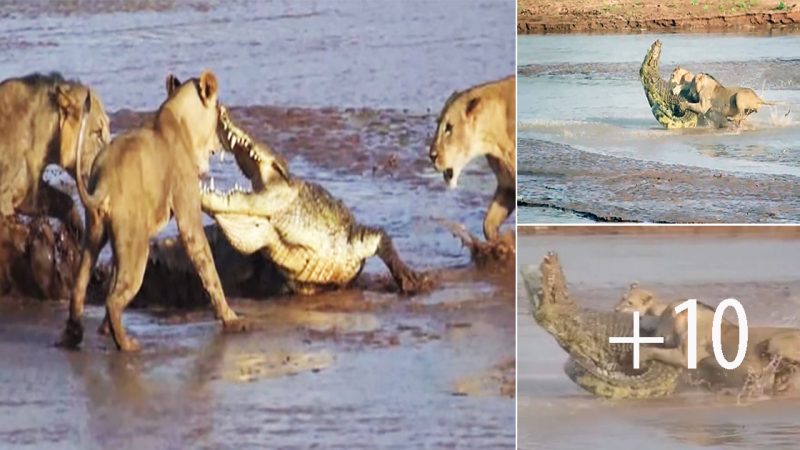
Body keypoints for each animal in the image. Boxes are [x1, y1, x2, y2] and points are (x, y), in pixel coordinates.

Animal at [59, 70, 245, 352]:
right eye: (220, 113)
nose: (223, 141)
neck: (178, 119)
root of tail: (104, 180)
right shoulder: (188, 215)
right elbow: (208, 268)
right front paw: (231, 319)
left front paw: (102, 329)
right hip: (137, 244)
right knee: (114, 299)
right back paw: (126, 344)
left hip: (96, 236)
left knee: (80, 288)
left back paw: (74, 336)